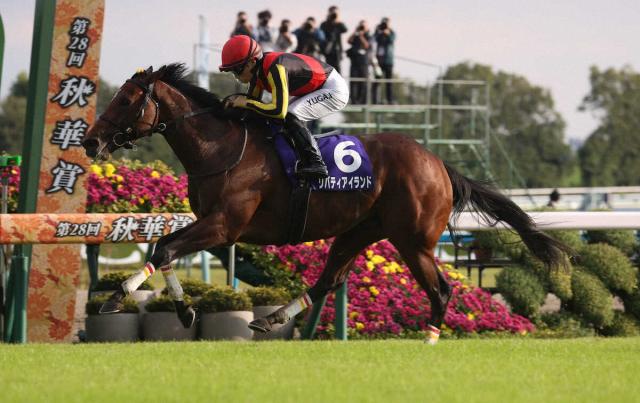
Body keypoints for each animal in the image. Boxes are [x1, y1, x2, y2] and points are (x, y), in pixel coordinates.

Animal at [81, 64, 568, 342]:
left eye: (126, 99)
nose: (90, 141)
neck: (220, 147)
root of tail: (438, 162)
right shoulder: (211, 225)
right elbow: (164, 248)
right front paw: (183, 310)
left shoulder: (224, 226)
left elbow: (165, 248)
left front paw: (115, 298)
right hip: (359, 230)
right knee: (329, 280)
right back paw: (272, 319)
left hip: (413, 240)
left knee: (440, 289)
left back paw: (429, 339)